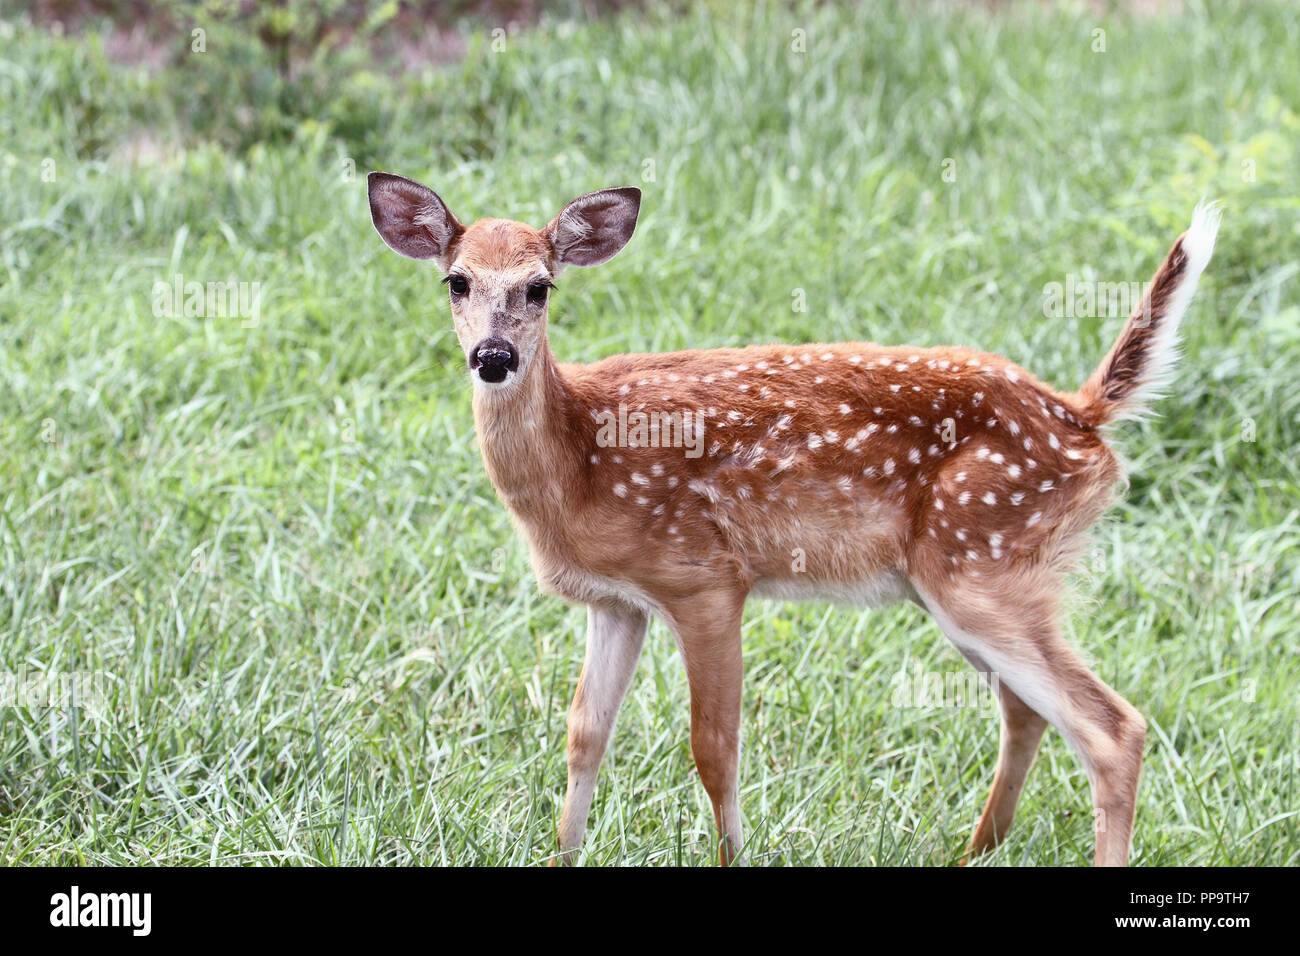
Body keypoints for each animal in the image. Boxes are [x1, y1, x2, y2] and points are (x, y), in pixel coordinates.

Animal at [367, 170, 1220, 866]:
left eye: (541, 286)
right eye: (456, 281)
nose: (494, 357)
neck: (581, 460)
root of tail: (1084, 417)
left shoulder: (706, 577)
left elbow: (714, 747)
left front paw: (732, 855)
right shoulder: (617, 603)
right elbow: (585, 737)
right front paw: (562, 856)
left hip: (985, 562)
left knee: (1112, 728)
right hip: (967, 580)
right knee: (1026, 710)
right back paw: (972, 850)